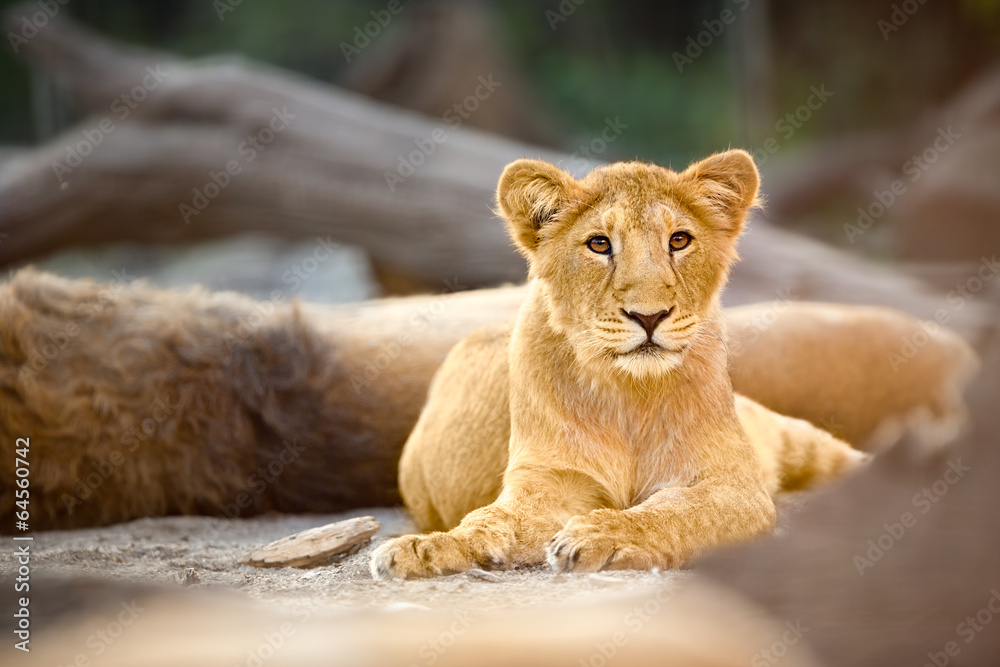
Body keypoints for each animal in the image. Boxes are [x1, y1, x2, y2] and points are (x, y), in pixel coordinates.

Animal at [369, 150, 882, 579]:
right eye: (599, 244)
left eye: (679, 240)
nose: (649, 315)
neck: (630, 393)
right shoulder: (550, 481)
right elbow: (489, 519)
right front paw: (428, 546)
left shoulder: (733, 485)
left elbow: (674, 513)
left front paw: (604, 534)